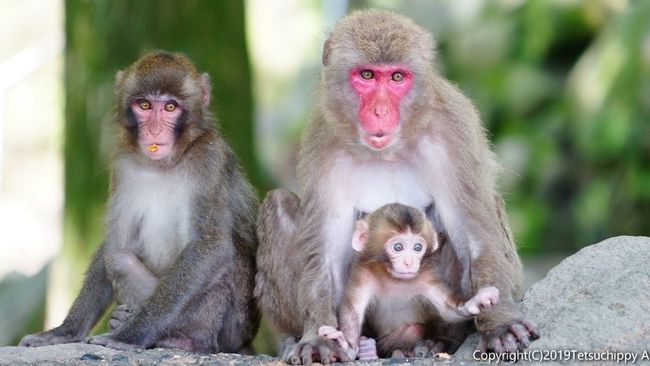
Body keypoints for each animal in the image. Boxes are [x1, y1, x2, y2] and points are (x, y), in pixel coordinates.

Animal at [20, 50, 258, 352]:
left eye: (170, 107)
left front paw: (130, 335)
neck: (167, 163)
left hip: (231, 329)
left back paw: (186, 340)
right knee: (119, 259)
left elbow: (210, 246)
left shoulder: (209, 156)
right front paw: (66, 331)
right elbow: (116, 243)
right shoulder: (122, 163)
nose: (154, 131)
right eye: (144, 105)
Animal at [318, 203, 496, 360]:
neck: (393, 278)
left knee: (415, 329)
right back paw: (369, 351)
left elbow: (447, 309)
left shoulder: (426, 277)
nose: (409, 262)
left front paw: (476, 302)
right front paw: (346, 346)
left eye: (417, 247)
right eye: (398, 247)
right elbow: (353, 311)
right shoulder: (364, 273)